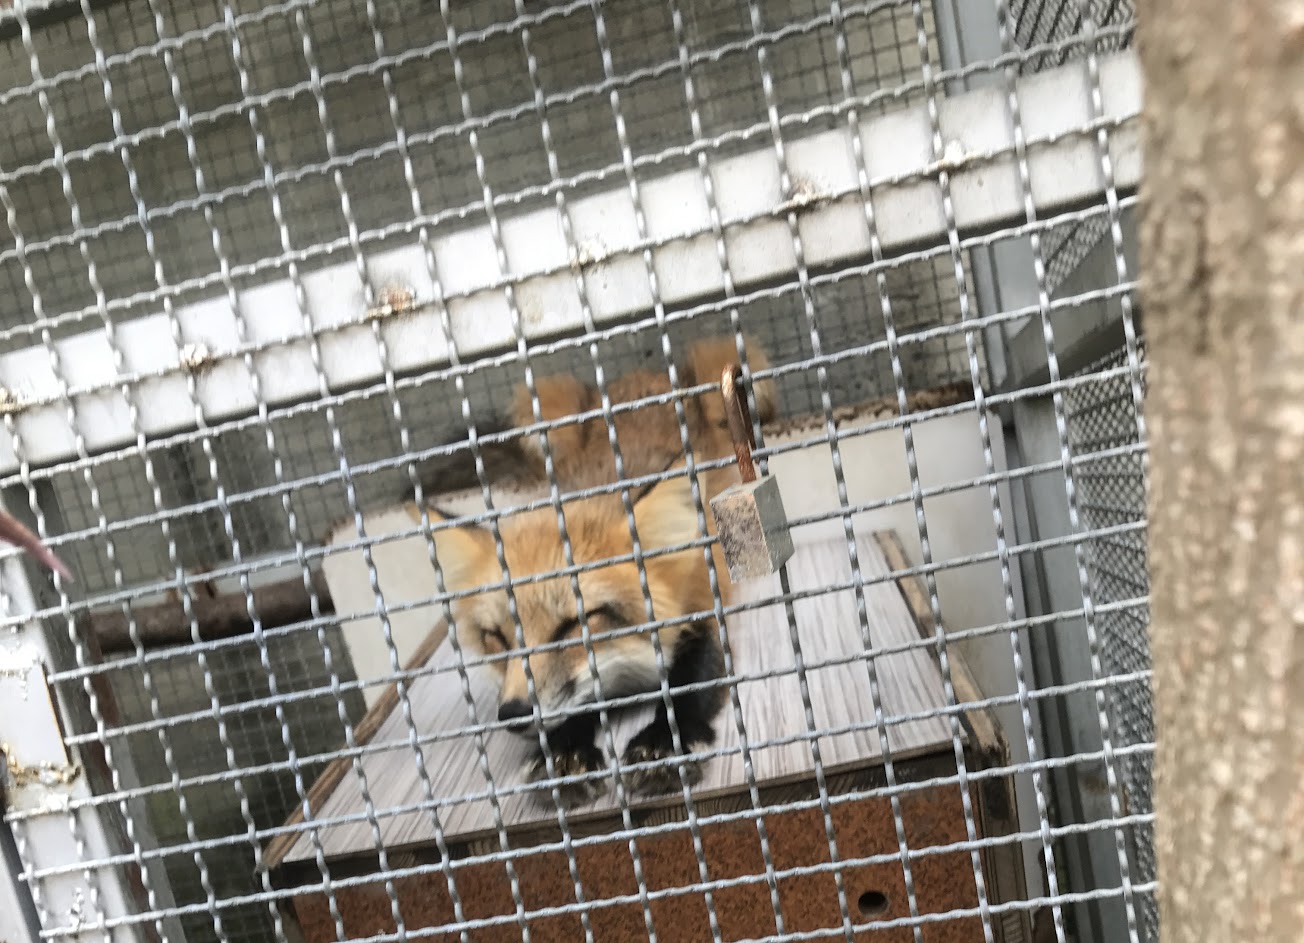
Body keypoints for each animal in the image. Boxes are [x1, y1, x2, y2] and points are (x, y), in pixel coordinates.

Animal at [414, 336, 776, 806]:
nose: (513, 714)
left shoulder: (703, 608)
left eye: (574, 625)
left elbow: (690, 682)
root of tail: (642, 376)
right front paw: (567, 749)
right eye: (497, 638)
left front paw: (664, 742)